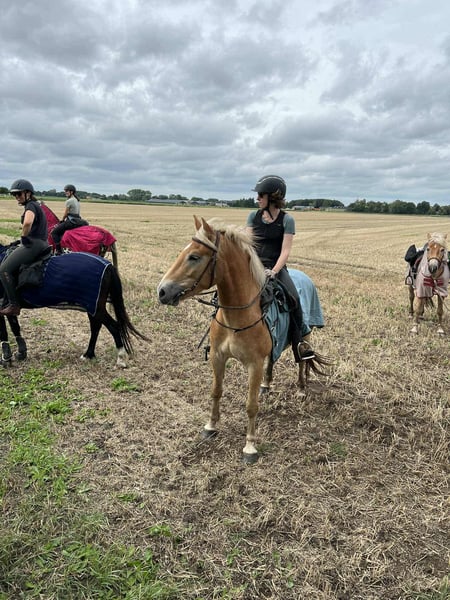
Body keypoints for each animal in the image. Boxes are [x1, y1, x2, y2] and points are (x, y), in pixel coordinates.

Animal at [0, 243, 147, 367]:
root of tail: (108, 265)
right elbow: (15, 328)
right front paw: (21, 353)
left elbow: (4, 332)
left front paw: (6, 358)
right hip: (92, 306)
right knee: (96, 327)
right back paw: (88, 355)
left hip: (96, 308)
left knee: (113, 326)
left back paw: (120, 359)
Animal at [157, 216, 329, 463]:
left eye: (194, 257)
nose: (161, 291)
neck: (236, 316)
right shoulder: (218, 357)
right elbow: (216, 391)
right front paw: (210, 427)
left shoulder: (253, 365)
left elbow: (251, 405)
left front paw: (250, 447)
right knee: (273, 359)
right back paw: (267, 384)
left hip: (305, 333)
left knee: (302, 358)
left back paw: (301, 389)